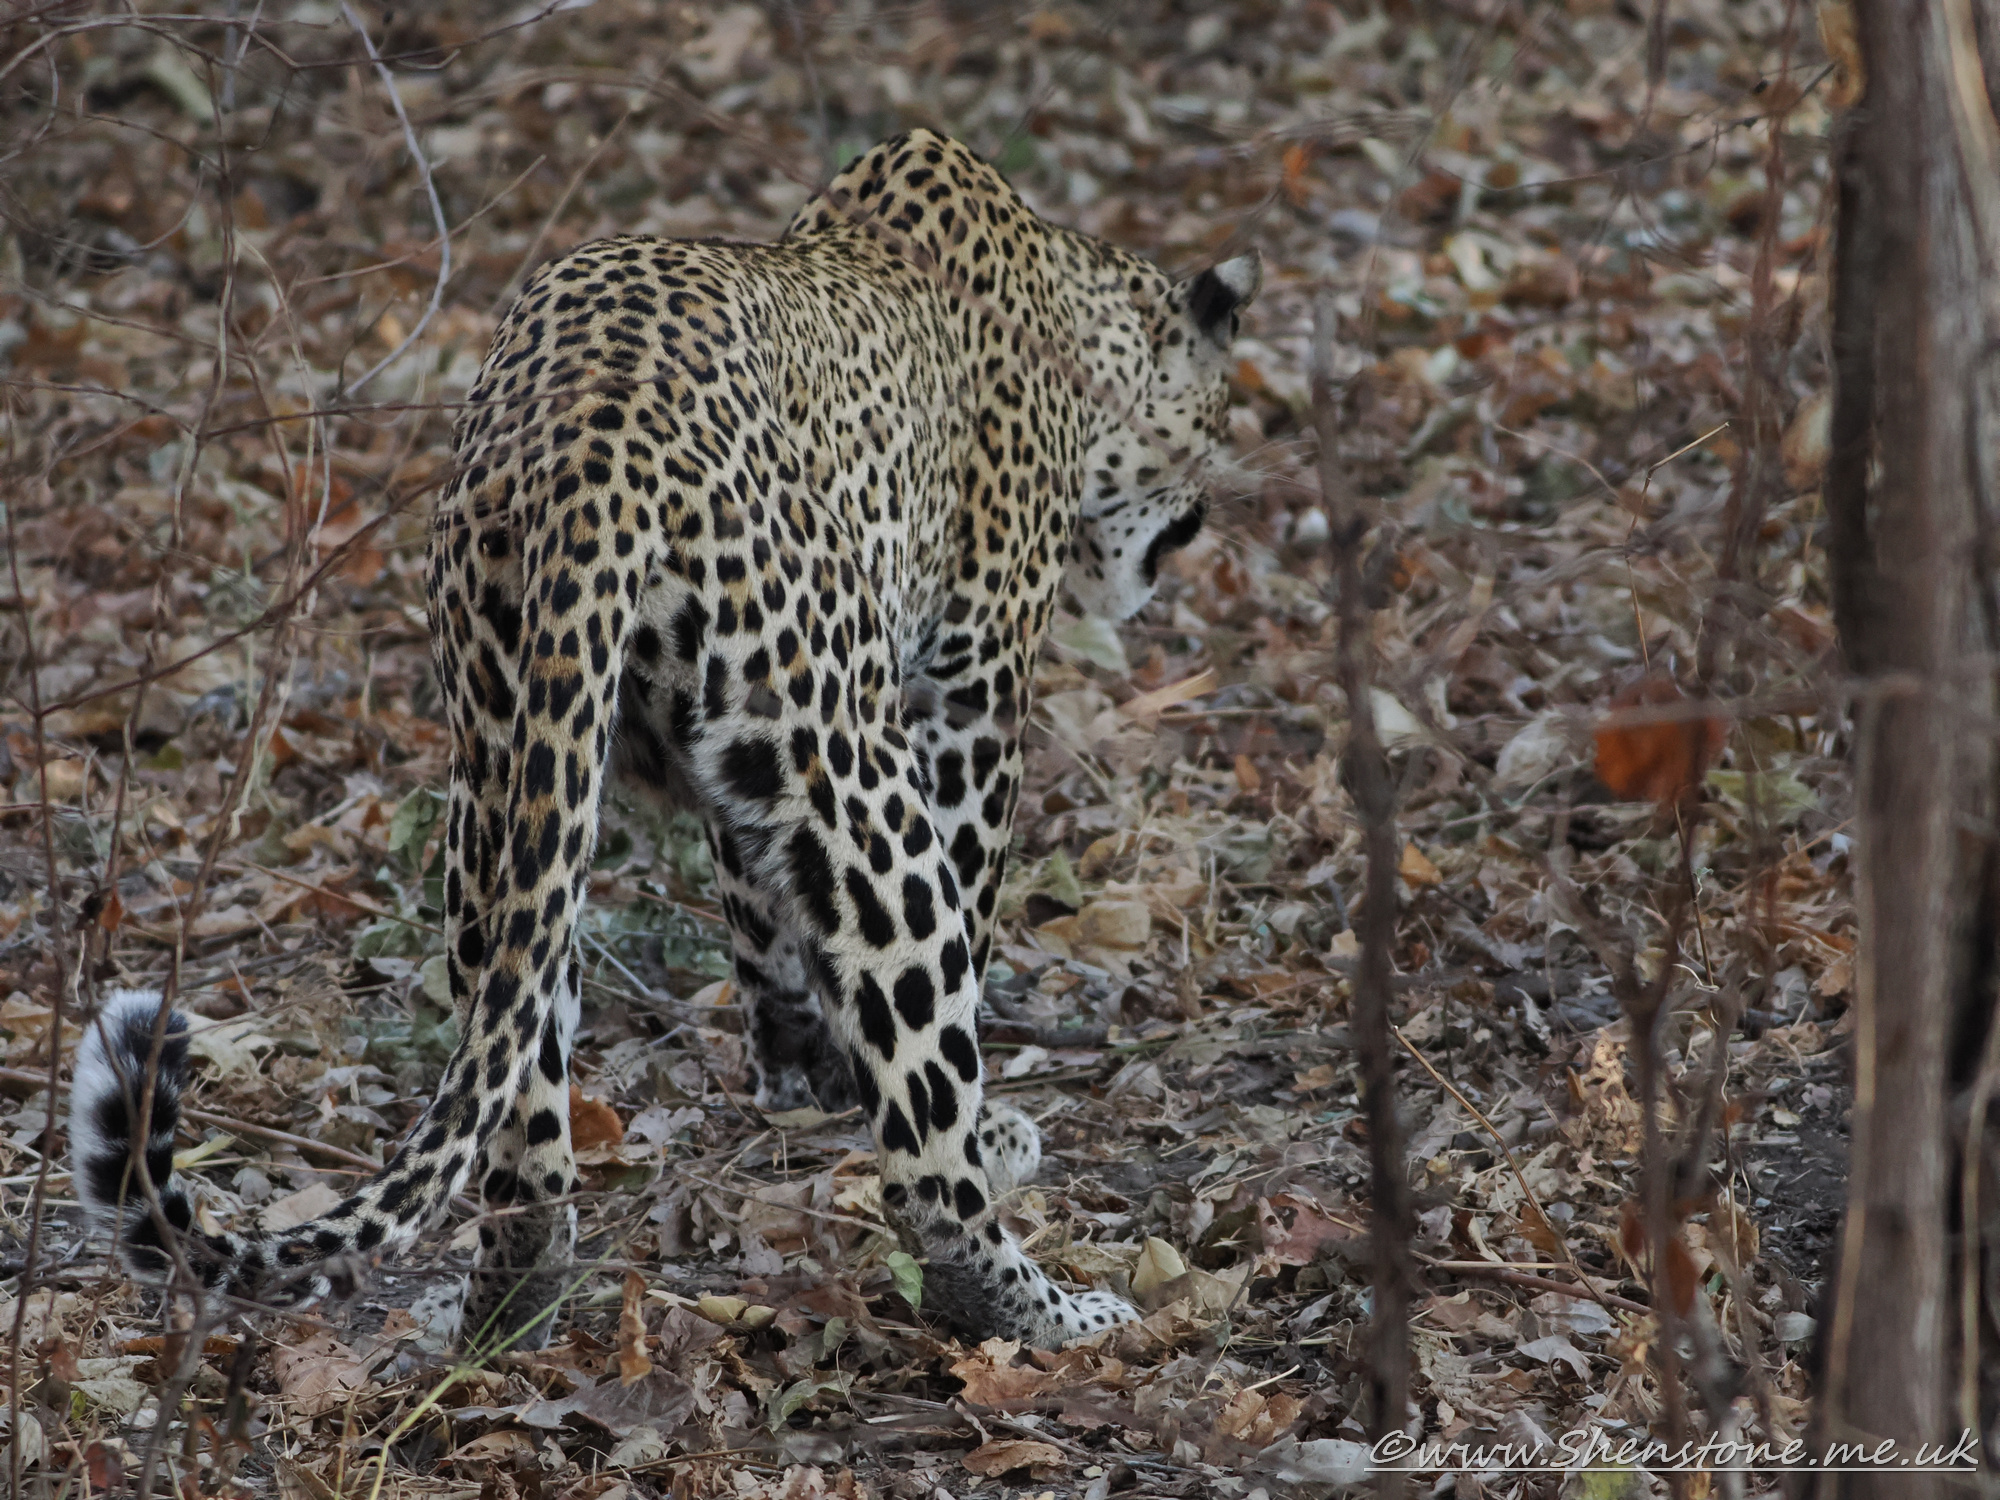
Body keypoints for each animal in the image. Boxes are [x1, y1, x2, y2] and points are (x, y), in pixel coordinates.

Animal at [73, 129, 1258, 1352]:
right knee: (927, 1142)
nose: (1200, 518)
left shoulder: (748, 778)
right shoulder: (968, 699)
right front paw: (945, 1112)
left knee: (515, 1062)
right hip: (849, 770)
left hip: (511, 771)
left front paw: (803, 1075)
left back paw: (519, 1297)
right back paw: (1038, 1303)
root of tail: (587, 439)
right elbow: (955, 925)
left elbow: (767, 931)